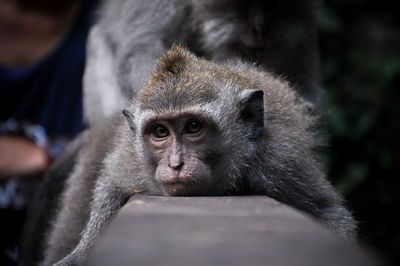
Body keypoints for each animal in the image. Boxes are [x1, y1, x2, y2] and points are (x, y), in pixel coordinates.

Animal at [20, 45, 354, 266]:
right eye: (160, 132)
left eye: (193, 126)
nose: (175, 164)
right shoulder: (133, 159)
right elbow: (112, 187)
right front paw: (79, 255)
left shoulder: (279, 160)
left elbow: (329, 214)